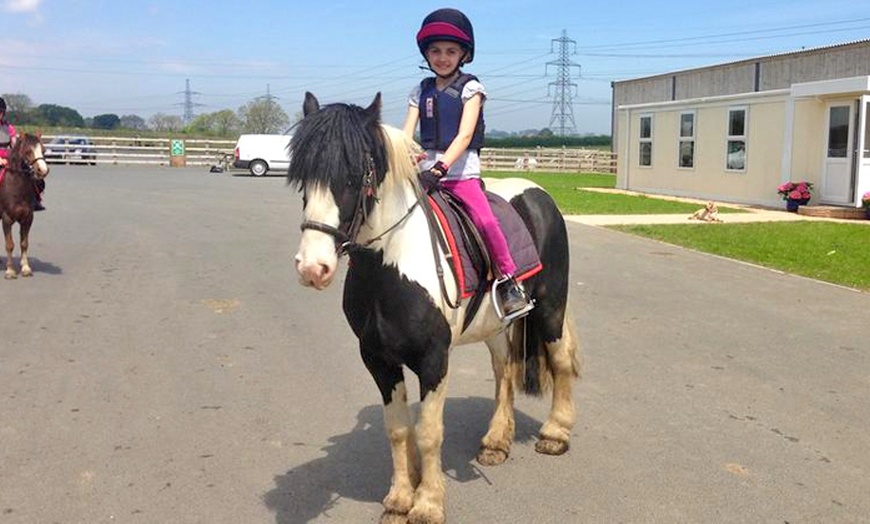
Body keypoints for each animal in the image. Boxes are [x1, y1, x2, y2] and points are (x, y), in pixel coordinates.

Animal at [0, 134, 49, 278]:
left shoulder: (27, 218)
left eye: (43, 150)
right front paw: (10, 270)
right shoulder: (6, 219)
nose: (43, 171)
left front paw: (25, 267)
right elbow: (9, 244)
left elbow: (24, 243)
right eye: (28, 151)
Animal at [290, 94, 584, 524]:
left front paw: (427, 503)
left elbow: (429, 433)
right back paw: (496, 441)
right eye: (302, 176)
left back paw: (555, 434)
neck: (391, 267)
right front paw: (399, 498)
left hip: (550, 307)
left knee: (560, 361)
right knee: (505, 371)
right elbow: (398, 428)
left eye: (355, 174)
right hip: (495, 325)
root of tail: (538, 194)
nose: (313, 268)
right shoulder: (378, 360)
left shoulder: (433, 360)